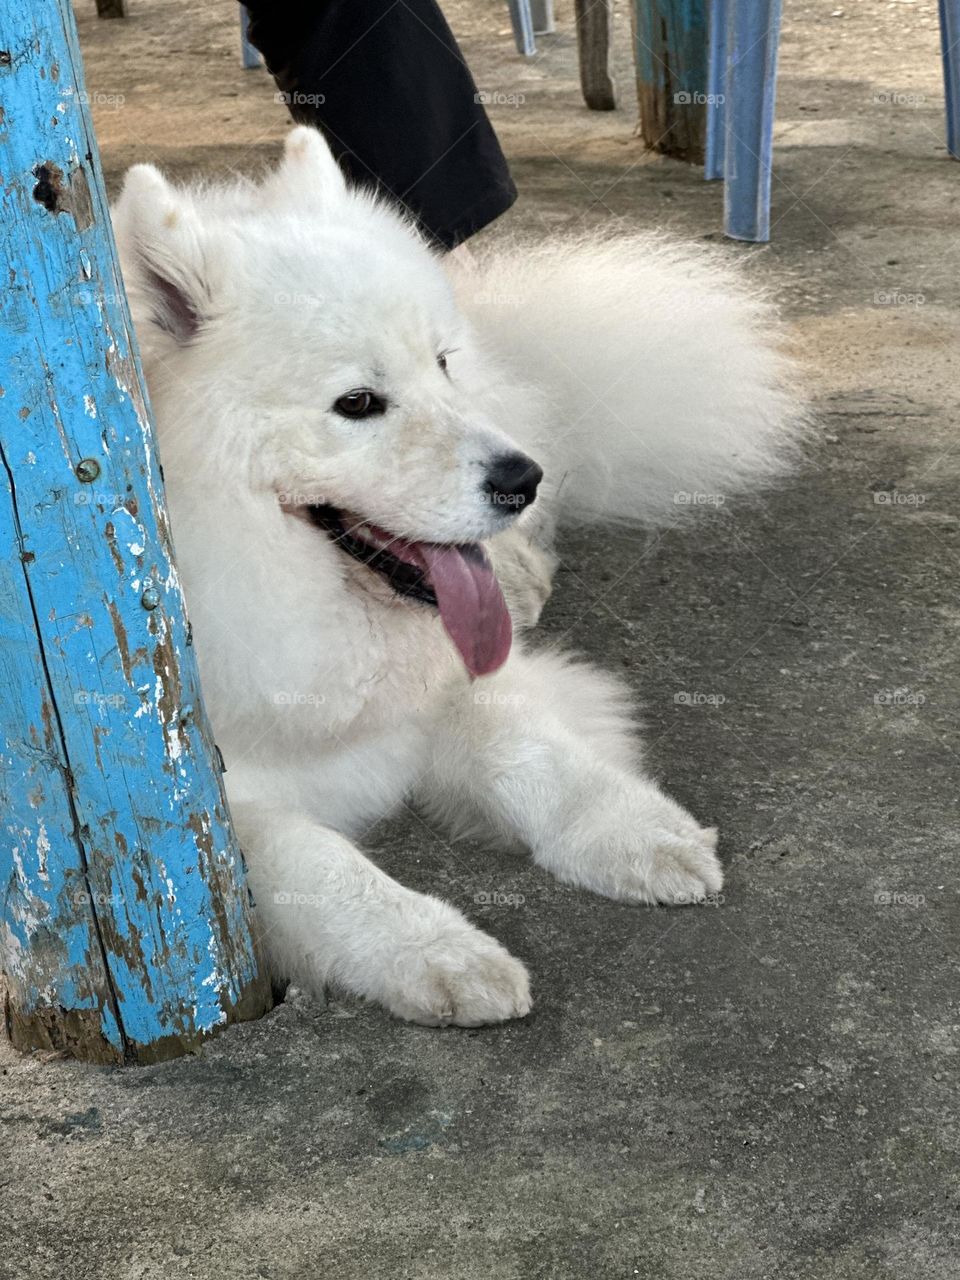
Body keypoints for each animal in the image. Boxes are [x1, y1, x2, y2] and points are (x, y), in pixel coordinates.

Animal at [112, 129, 798, 1029]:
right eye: (358, 403)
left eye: (439, 365)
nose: (521, 479)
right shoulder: (200, 825)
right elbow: (322, 862)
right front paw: (439, 952)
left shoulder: (456, 687)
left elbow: (528, 748)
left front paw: (632, 830)